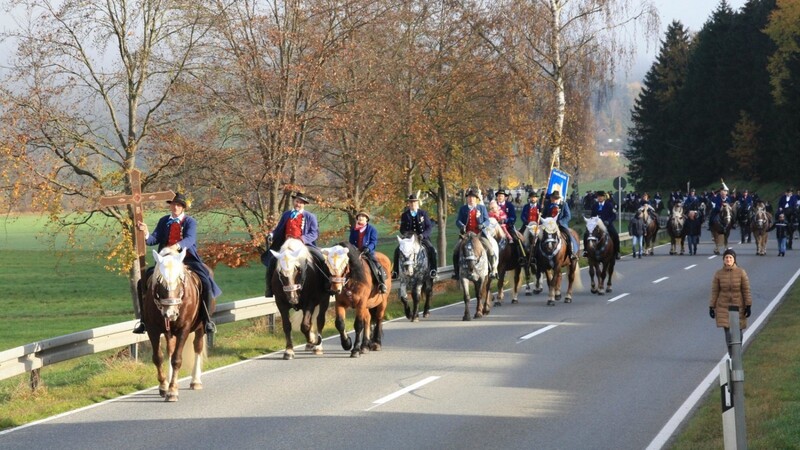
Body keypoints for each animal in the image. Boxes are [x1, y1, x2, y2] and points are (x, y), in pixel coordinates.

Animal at [141, 248, 211, 402]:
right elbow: (158, 358)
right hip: (169, 332)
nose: (171, 313)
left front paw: (172, 391)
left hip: (200, 327)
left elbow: (177, 360)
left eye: (180, 280)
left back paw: (195, 381)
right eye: (160, 282)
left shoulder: (183, 330)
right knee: (170, 350)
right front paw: (164, 386)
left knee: (197, 347)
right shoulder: (152, 330)